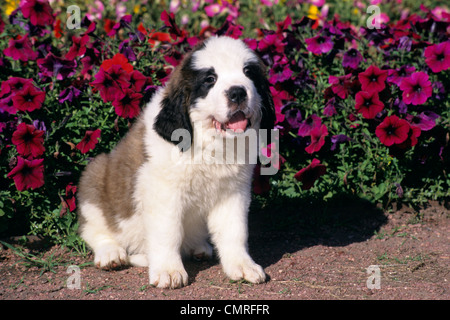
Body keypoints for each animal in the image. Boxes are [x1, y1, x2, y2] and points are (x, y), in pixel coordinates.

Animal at [77, 36, 274, 288]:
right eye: (210, 79)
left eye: (248, 73)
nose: (238, 92)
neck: (210, 142)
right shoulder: (163, 192)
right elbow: (167, 233)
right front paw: (168, 271)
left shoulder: (233, 192)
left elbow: (235, 231)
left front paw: (242, 265)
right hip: (95, 177)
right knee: (94, 229)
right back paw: (111, 253)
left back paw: (198, 247)